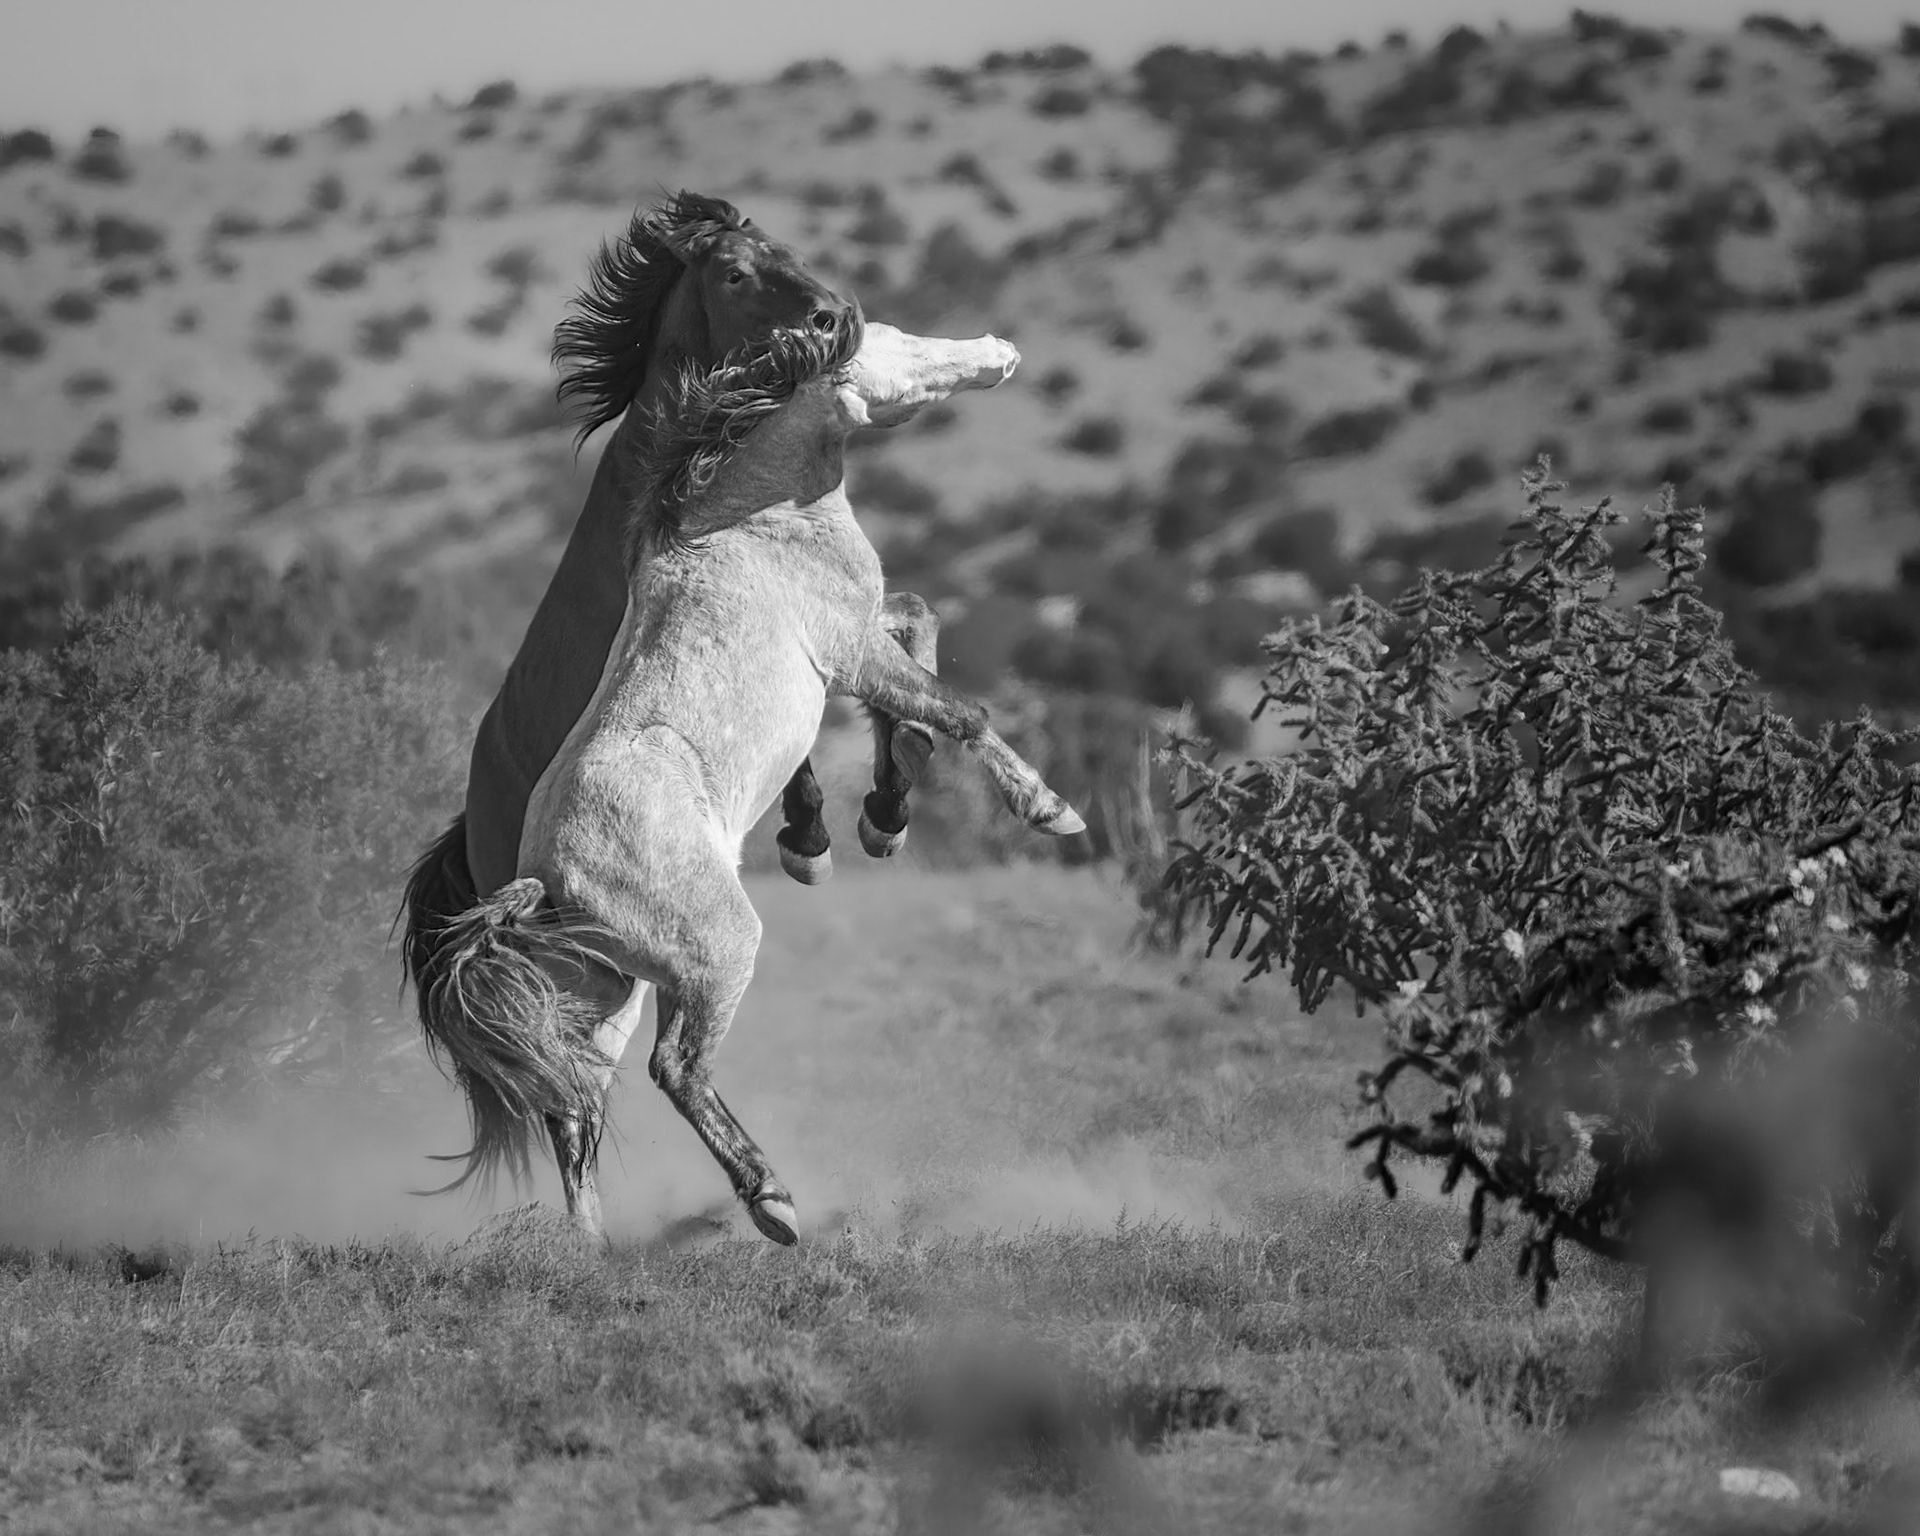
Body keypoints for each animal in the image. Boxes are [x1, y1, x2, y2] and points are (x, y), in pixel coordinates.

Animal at [415, 317, 1085, 1242]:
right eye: (887, 344)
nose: (998, 351)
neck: (750, 517)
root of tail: (540, 878)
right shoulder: (848, 650)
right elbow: (961, 708)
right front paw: (1046, 808)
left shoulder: (857, 642)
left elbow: (919, 621)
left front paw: (886, 806)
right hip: (718, 953)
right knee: (674, 1067)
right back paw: (772, 1201)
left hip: (611, 991)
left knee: (572, 1102)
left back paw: (595, 1247)